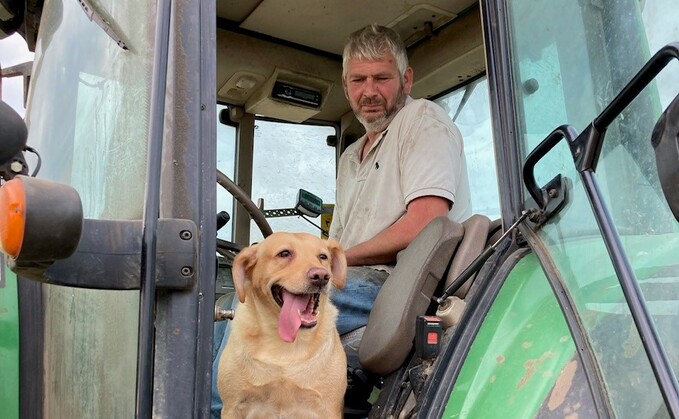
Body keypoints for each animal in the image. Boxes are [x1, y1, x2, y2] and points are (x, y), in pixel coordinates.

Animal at [218, 233, 348, 419]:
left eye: (323, 257)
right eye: (284, 253)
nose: (321, 276)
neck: (283, 344)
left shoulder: (328, 410)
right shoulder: (232, 407)